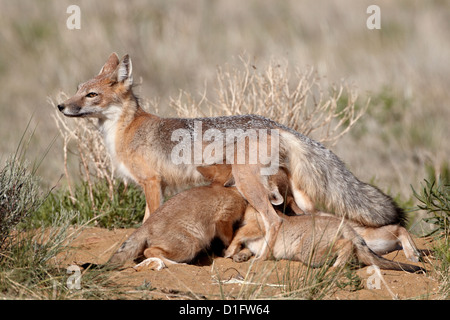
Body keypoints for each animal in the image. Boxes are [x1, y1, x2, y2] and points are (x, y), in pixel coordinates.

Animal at [58, 52, 406, 258]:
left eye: (91, 95)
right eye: (77, 90)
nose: (61, 106)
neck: (126, 128)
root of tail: (273, 122)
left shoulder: (152, 183)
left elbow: (150, 219)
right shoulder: (158, 185)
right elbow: (144, 220)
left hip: (248, 183)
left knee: (274, 221)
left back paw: (263, 259)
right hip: (293, 193)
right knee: (306, 216)